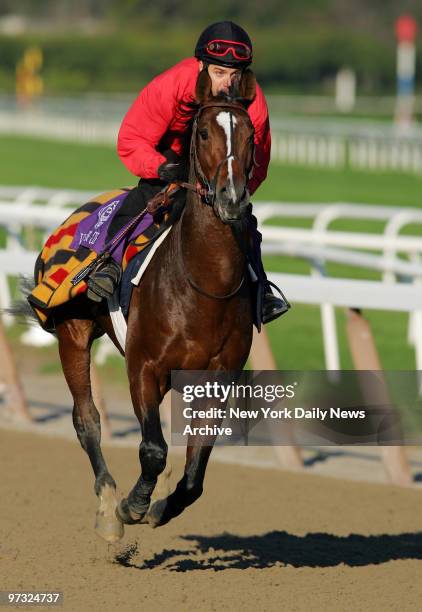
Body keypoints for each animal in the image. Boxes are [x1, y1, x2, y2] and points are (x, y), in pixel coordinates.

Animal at [51, 69, 256, 544]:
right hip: (73, 332)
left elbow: (195, 471)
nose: (232, 197)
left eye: (251, 135)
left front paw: (162, 505)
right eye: (203, 132)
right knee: (86, 419)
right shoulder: (144, 365)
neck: (202, 284)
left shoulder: (217, 378)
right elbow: (152, 448)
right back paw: (109, 506)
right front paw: (132, 505)